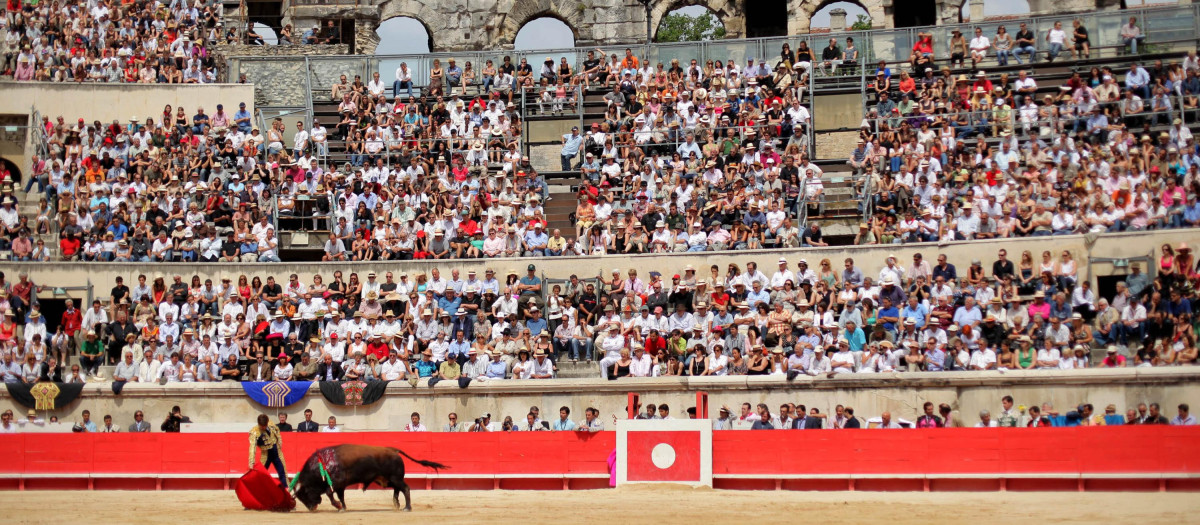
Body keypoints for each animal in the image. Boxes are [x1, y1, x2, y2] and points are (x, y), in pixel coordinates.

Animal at [292, 443, 448, 513]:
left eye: (304, 494)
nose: (311, 508)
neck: (322, 464)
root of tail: (393, 450)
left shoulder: (337, 482)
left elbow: (330, 493)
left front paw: (338, 506)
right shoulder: (341, 486)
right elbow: (341, 496)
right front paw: (343, 507)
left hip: (394, 478)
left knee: (406, 488)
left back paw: (406, 507)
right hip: (386, 480)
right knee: (397, 489)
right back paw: (396, 504)